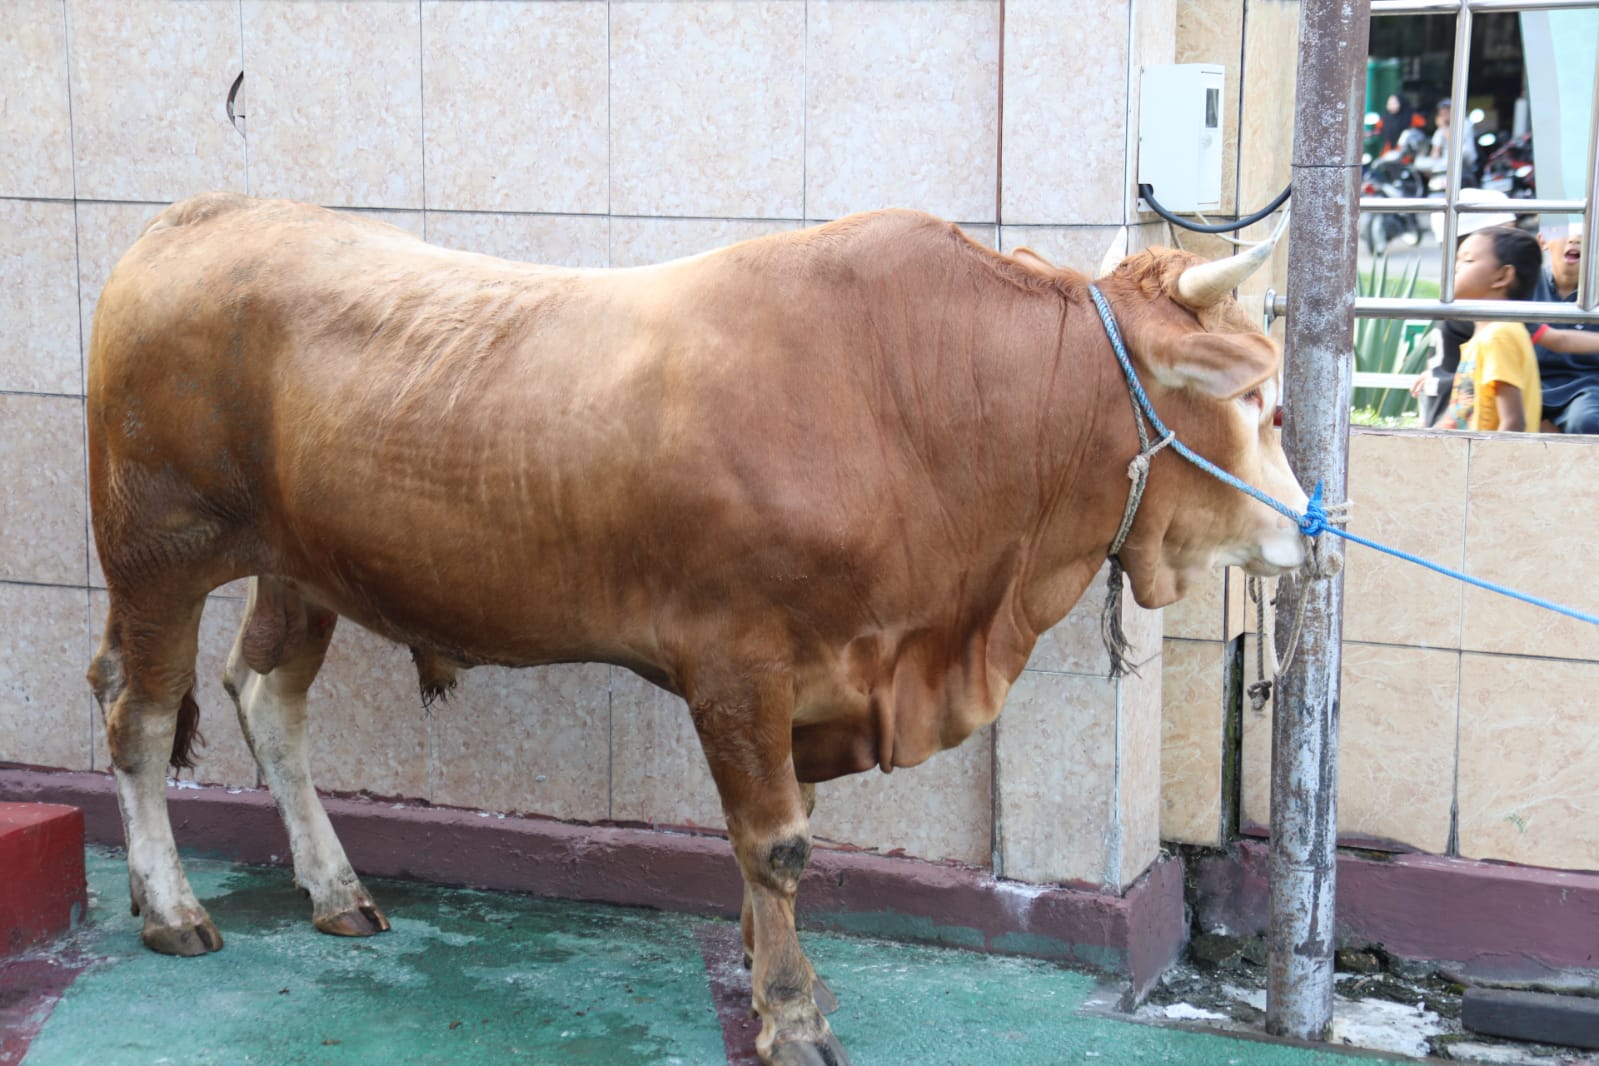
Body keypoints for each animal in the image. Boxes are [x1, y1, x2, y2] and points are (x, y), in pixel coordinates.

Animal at [87, 194, 1304, 1066]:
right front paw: (793, 1015)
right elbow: (776, 843)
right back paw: (172, 905)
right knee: (139, 719)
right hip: (157, 556)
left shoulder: (813, 678)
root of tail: (191, 218)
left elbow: (777, 834)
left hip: (300, 570)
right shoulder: (738, 666)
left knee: (266, 700)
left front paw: (773, 977)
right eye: (1257, 402)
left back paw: (333, 889)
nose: (1309, 530)